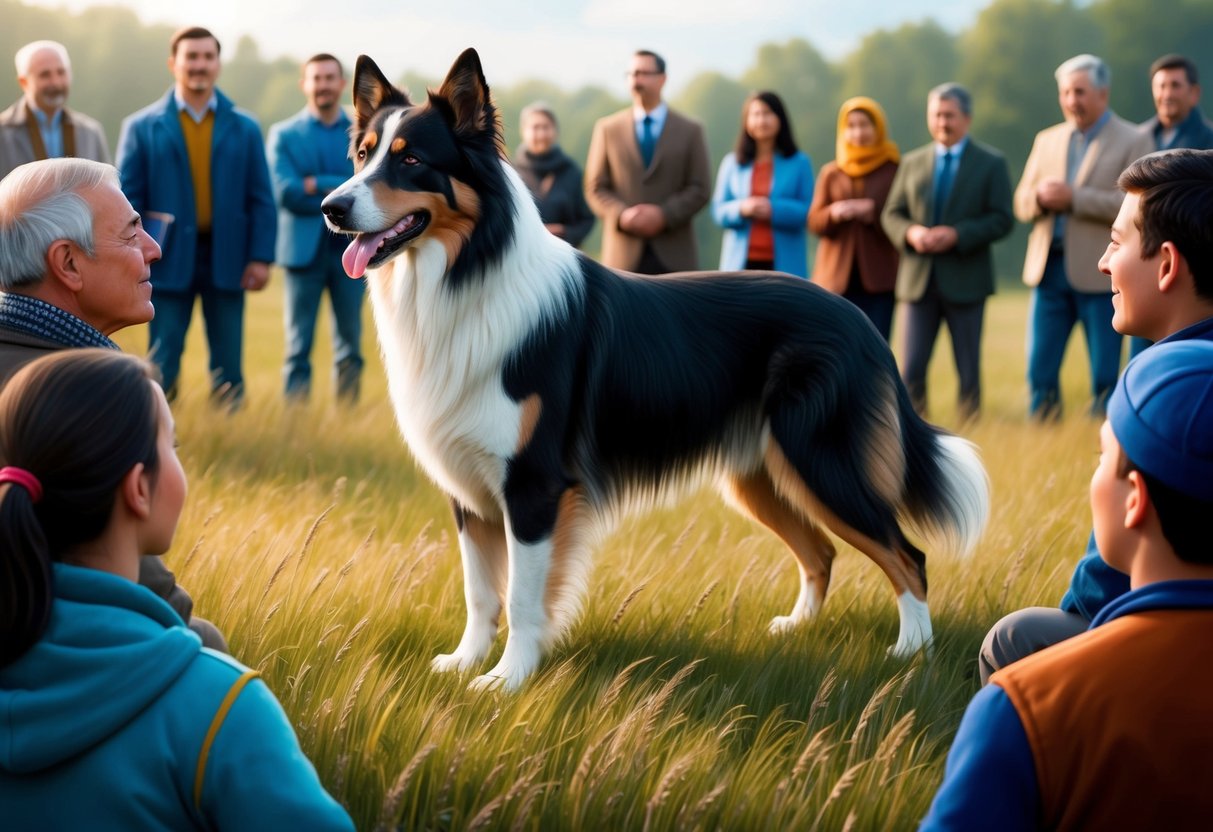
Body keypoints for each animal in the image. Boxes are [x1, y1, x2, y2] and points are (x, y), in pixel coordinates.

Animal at [322, 48, 984, 693]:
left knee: (907, 556)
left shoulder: (534, 483)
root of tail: (860, 320)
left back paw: (912, 655)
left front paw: (507, 681)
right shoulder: (470, 486)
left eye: (411, 161)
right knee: (821, 552)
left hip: (823, 460)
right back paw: (798, 630)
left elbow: (522, 595)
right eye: (362, 154)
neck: (466, 271)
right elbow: (480, 590)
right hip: (763, 474)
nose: (332, 207)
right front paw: (464, 664)